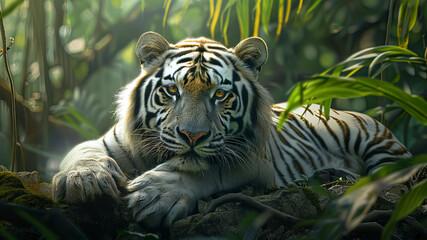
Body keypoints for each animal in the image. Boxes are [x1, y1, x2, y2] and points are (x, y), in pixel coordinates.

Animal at [51, 31, 412, 227]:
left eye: (220, 95)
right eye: (172, 91)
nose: (192, 136)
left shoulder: (254, 162)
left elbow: (205, 170)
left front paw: (156, 194)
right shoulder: (108, 142)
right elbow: (83, 153)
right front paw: (85, 181)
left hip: (370, 136)